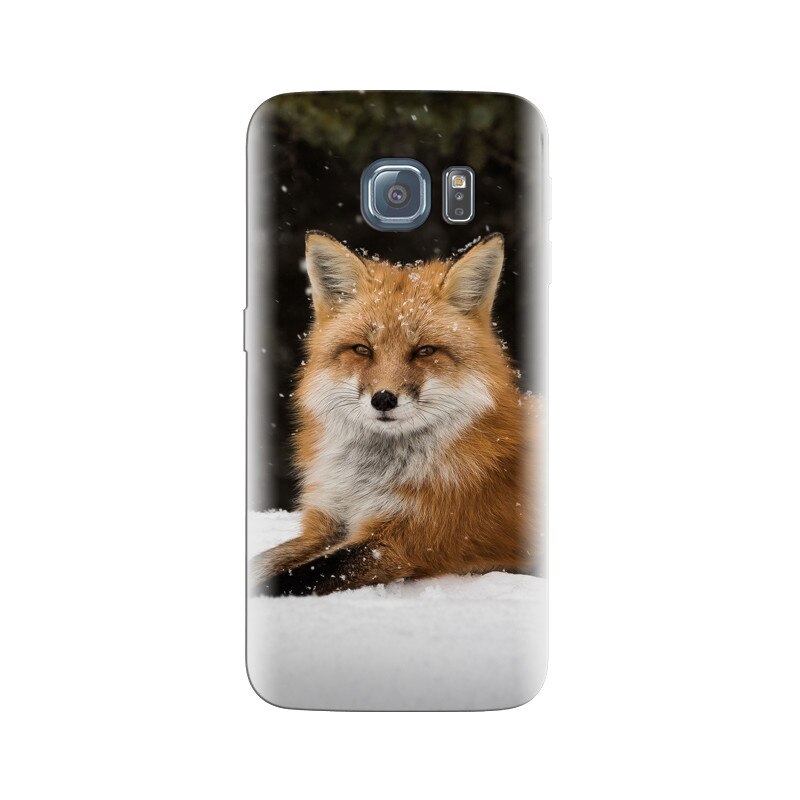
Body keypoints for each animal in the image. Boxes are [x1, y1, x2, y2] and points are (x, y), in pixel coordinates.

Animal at [249, 230, 541, 597]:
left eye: (424, 351)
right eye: (362, 349)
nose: (384, 399)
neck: (368, 479)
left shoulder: (404, 541)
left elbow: (303, 574)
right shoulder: (327, 521)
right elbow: (263, 560)